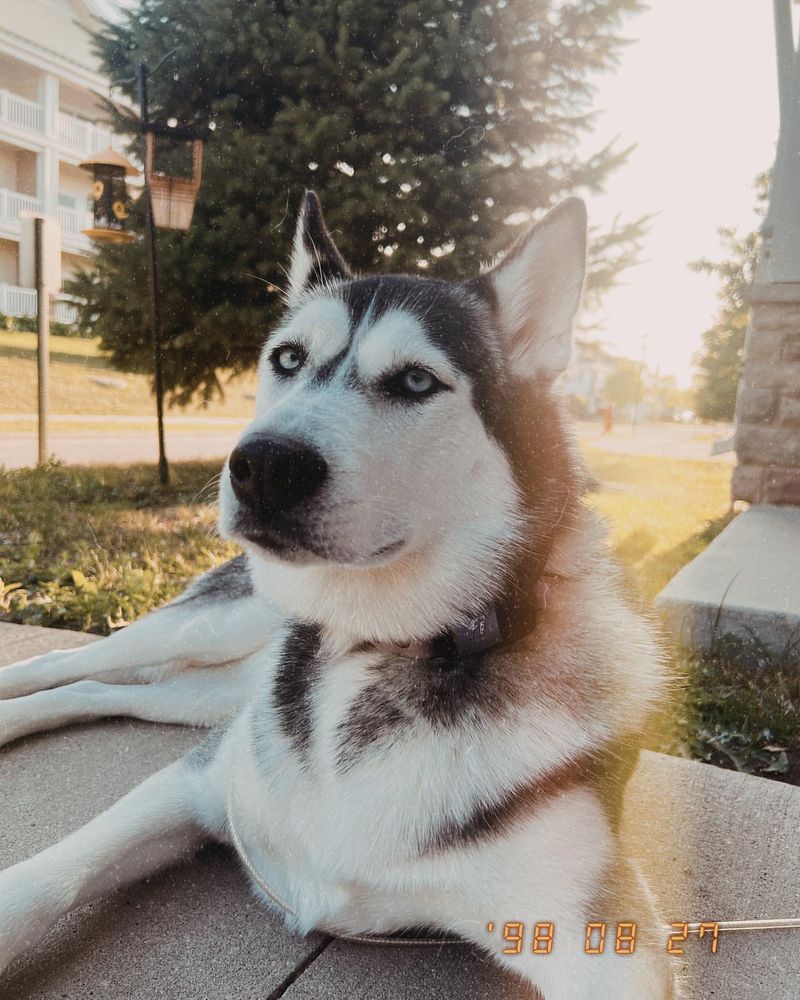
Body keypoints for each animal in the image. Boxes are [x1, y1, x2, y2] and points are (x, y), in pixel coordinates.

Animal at [0, 191, 676, 996]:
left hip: (213, 693)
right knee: (67, 666)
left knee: (106, 690)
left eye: (416, 381)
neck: (369, 645)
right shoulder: (196, 785)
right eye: (287, 358)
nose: (263, 465)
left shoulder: (602, 939)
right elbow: (43, 881)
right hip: (212, 634)